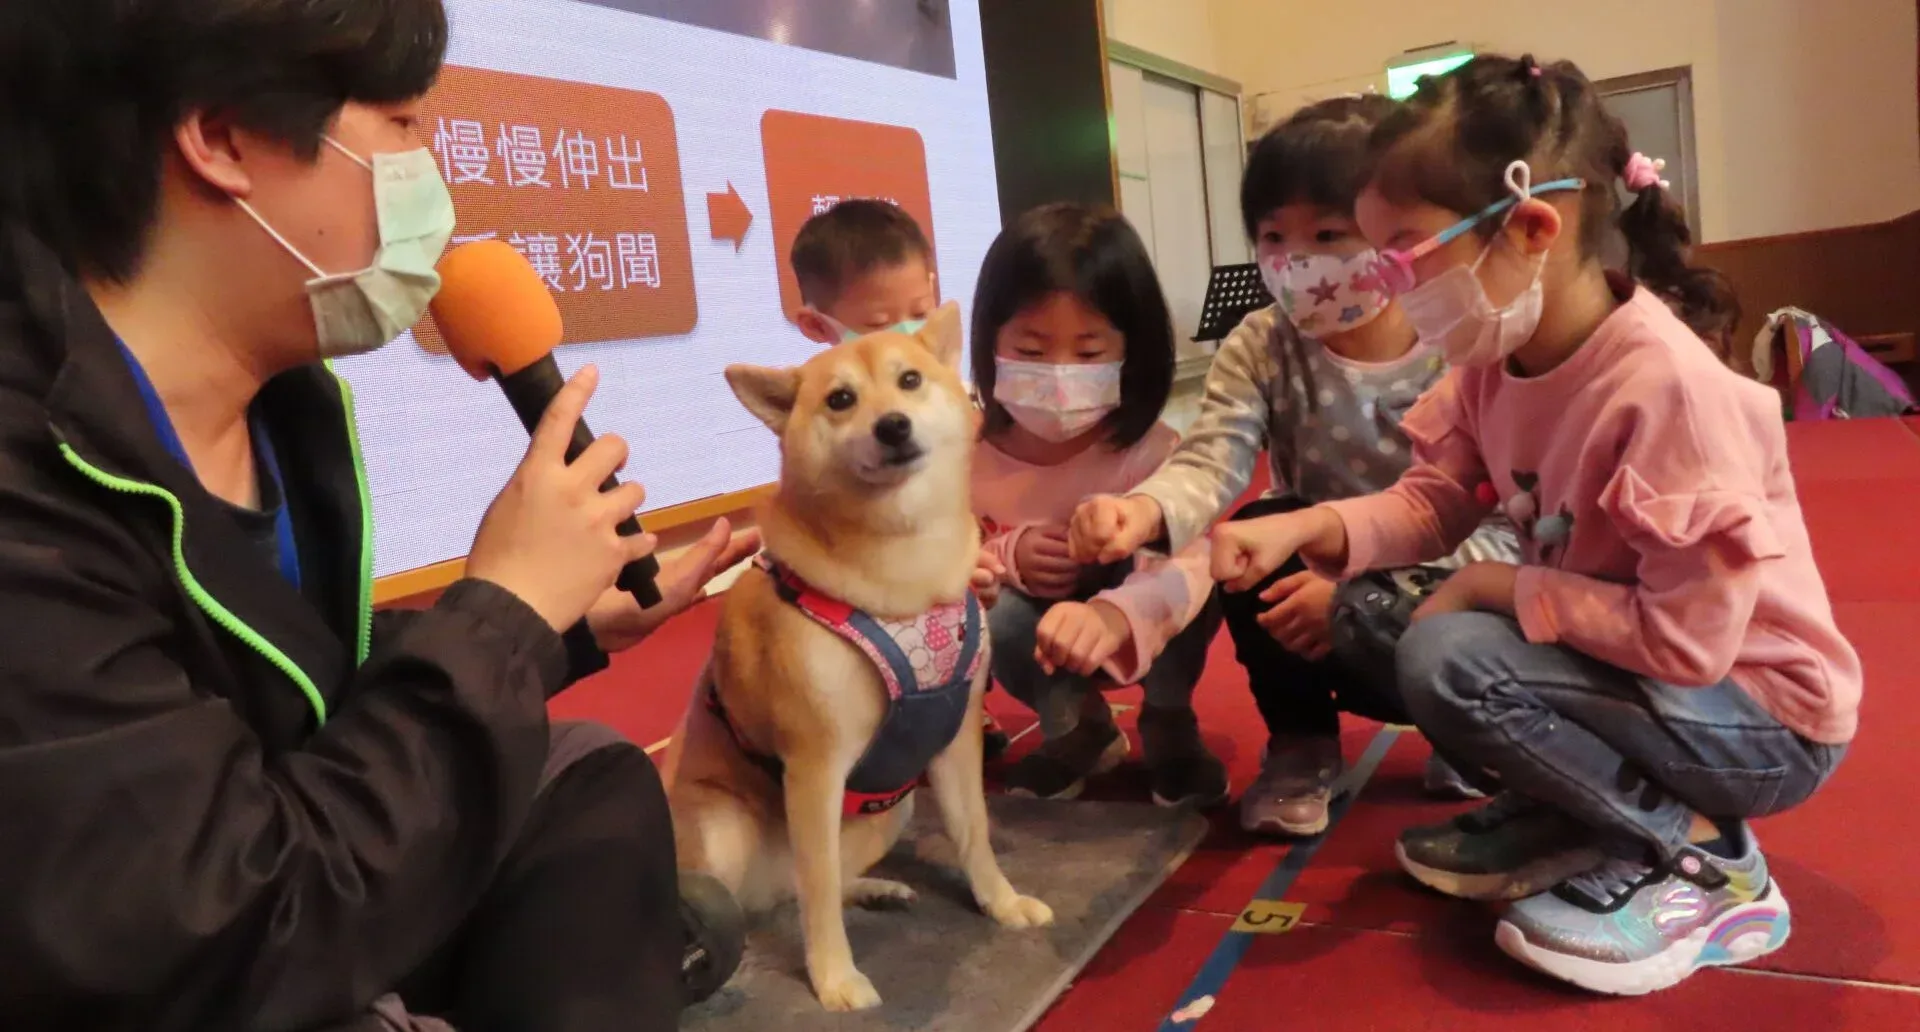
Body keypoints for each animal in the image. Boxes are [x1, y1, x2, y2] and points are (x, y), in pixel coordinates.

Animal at [660, 301, 1052, 1005]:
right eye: (840, 399)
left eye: (909, 381)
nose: (892, 425)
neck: (905, 578)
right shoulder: (815, 767)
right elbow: (817, 897)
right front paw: (834, 979)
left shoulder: (954, 744)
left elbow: (974, 835)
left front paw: (1002, 903)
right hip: (724, 827)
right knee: (774, 901)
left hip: (893, 808)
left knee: (814, 888)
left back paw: (877, 889)